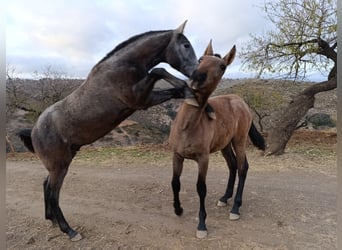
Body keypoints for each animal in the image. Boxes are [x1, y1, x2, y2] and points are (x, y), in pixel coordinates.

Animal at [18, 21, 199, 240]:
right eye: (186, 45)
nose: (198, 73)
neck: (121, 67)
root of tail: (34, 130)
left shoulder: (144, 99)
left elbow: (170, 86)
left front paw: (192, 94)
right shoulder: (141, 99)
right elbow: (159, 71)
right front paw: (188, 89)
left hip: (61, 163)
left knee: (46, 186)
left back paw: (52, 220)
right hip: (59, 166)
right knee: (53, 194)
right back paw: (69, 230)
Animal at [168, 41, 264, 238]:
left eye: (222, 67)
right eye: (200, 59)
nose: (197, 77)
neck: (188, 127)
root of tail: (241, 102)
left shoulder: (203, 159)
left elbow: (201, 188)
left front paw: (202, 225)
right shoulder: (177, 155)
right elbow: (175, 182)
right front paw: (178, 209)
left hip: (239, 141)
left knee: (242, 167)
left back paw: (235, 208)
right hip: (225, 145)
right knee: (233, 166)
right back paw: (225, 198)